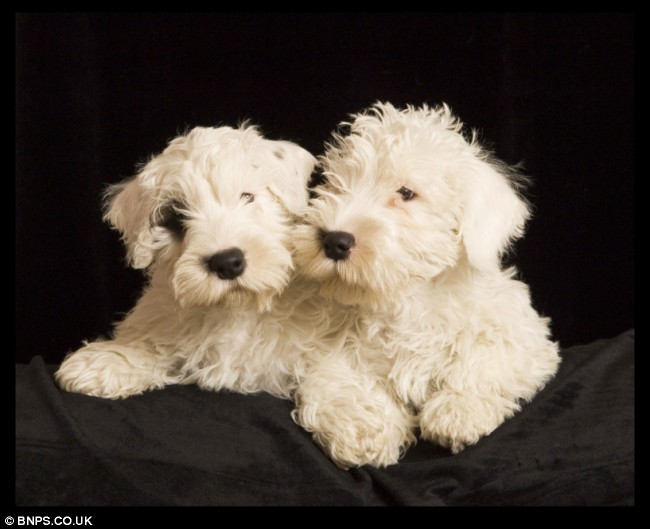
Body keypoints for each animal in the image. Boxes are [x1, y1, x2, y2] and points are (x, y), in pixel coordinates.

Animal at [55, 124, 316, 396]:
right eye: (175, 217)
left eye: (247, 196)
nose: (227, 262)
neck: (233, 310)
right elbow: (149, 343)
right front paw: (101, 363)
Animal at [290, 101, 560, 464]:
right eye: (335, 184)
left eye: (406, 193)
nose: (334, 240)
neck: (408, 300)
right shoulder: (330, 354)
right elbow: (339, 385)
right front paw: (364, 431)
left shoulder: (525, 338)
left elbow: (484, 357)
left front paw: (458, 411)